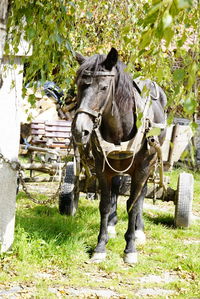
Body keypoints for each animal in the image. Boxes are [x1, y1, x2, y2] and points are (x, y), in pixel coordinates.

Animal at [72, 47, 167, 264]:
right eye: (80, 85)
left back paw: (139, 231)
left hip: (149, 165)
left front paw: (130, 248)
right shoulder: (102, 167)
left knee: (141, 195)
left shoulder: (142, 168)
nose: (80, 130)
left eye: (104, 87)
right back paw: (112, 224)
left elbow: (132, 204)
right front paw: (100, 246)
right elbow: (105, 204)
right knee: (117, 188)